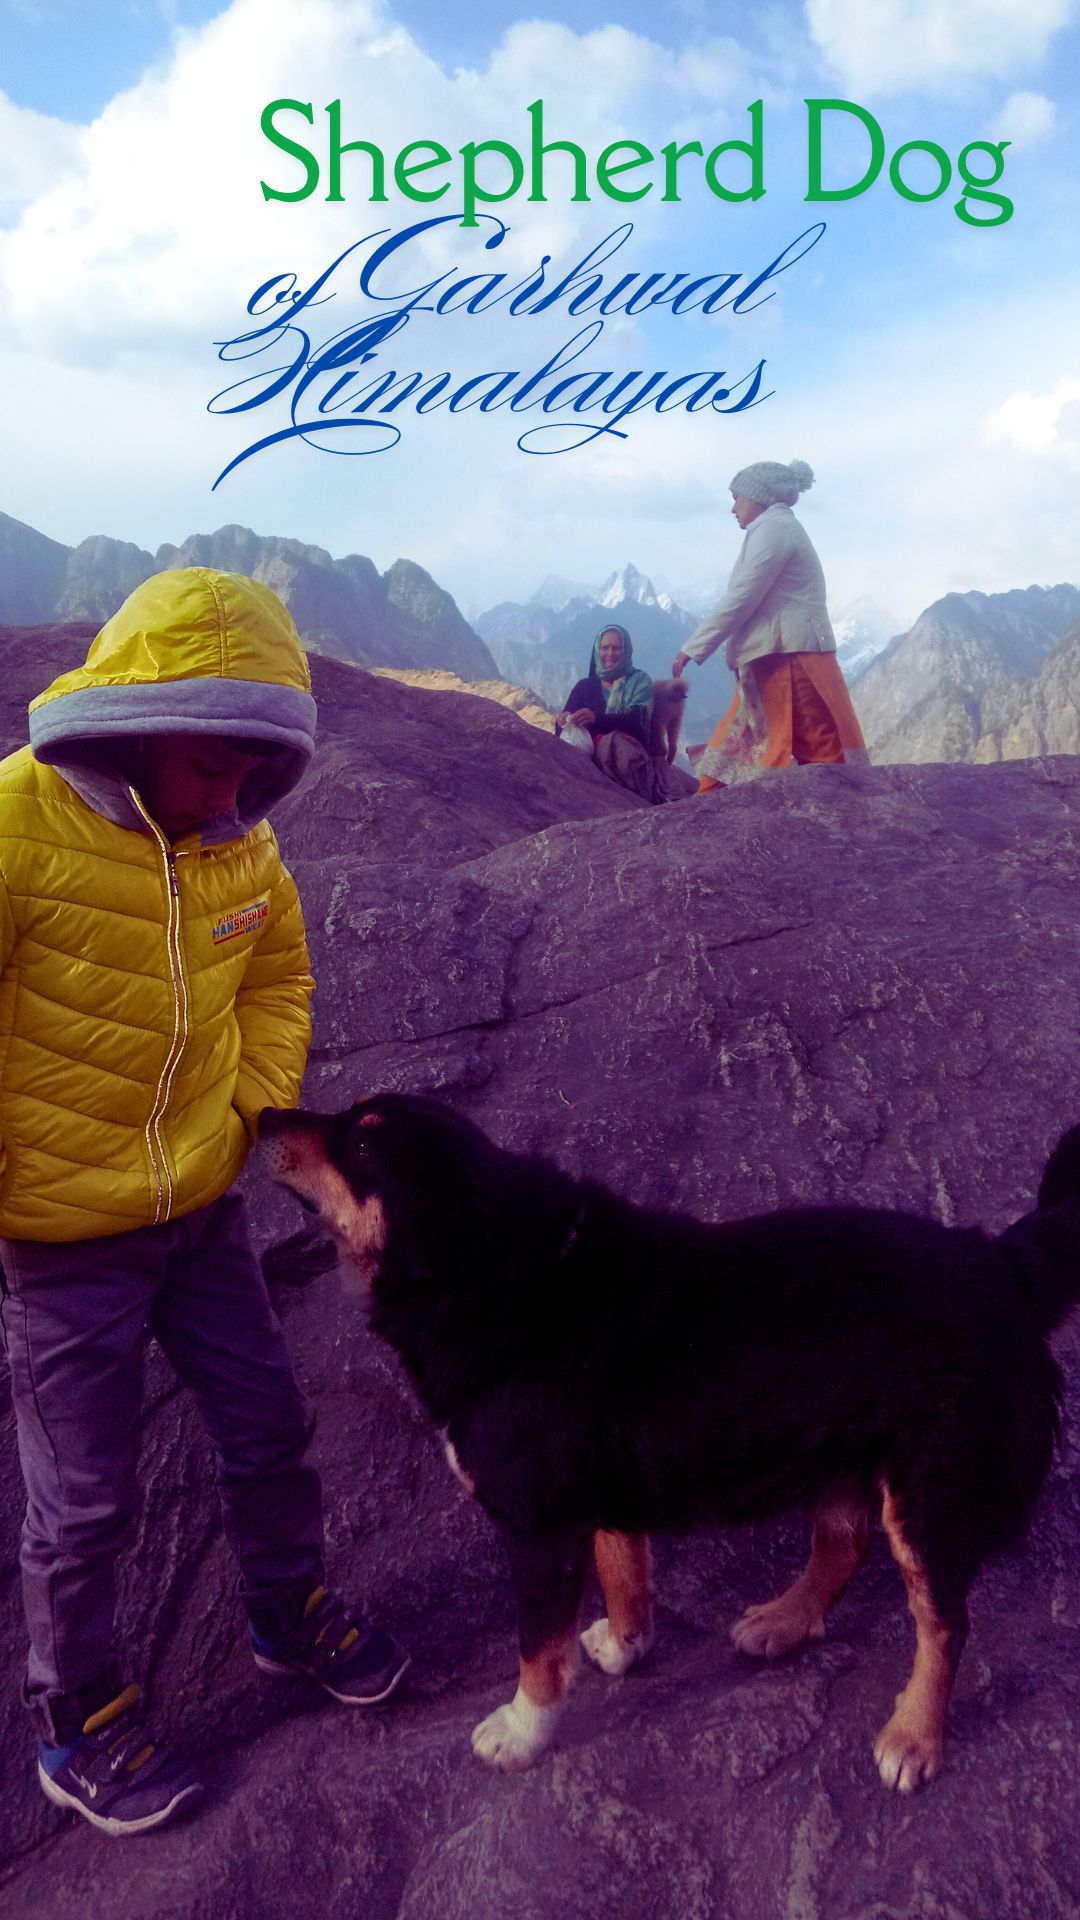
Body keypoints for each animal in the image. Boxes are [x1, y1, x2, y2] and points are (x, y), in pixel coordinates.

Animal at [255, 1105, 1076, 1789]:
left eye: (364, 1143)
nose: (262, 1115)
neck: (502, 1275)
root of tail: (999, 1261)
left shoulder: (539, 1529)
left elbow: (537, 1650)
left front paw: (521, 1733)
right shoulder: (597, 1499)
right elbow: (624, 1572)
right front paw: (626, 1647)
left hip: (928, 1495)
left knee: (944, 1622)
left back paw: (913, 1736)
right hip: (835, 1449)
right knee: (845, 1544)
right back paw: (783, 1620)